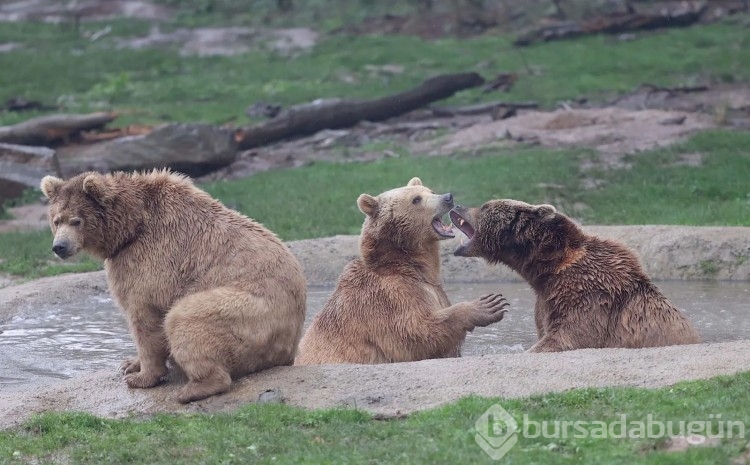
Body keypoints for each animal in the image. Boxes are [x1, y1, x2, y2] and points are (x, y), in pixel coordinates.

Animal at [39, 170, 306, 402]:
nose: (59, 247)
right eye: (56, 220)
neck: (132, 227)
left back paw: (191, 389)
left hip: (250, 313)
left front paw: (141, 377)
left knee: (185, 318)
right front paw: (129, 363)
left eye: (76, 221)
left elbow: (144, 319)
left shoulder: (151, 260)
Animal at [294, 176, 512, 364]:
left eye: (430, 191)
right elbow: (414, 334)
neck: (408, 265)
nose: (448, 197)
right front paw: (487, 305)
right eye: (416, 199)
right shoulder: (387, 298)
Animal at [450, 199, 704, 352]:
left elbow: (568, 336)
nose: (458, 206)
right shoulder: (546, 301)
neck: (546, 271)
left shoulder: (587, 295)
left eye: (484, 206)